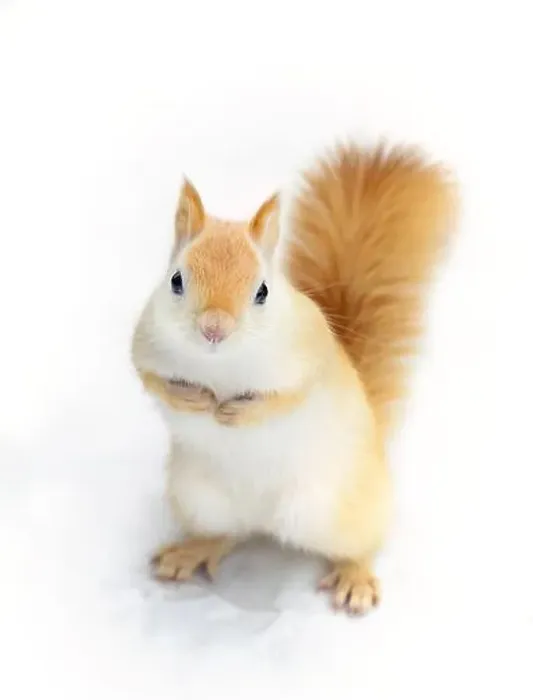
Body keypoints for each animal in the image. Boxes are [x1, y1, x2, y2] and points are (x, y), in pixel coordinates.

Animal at [131, 141, 456, 615]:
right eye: (176, 280)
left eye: (262, 291)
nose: (214, 328)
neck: (220, 365)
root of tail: (264, 518)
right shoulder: (145, 346)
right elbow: (152, 380)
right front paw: (194, 401)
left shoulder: (308, 359)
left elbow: (287, 398)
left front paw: (235, 413)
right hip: (199, 501)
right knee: (226, 534)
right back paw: (191, 552)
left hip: (339, 511)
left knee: (362, 544)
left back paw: (355, 579)